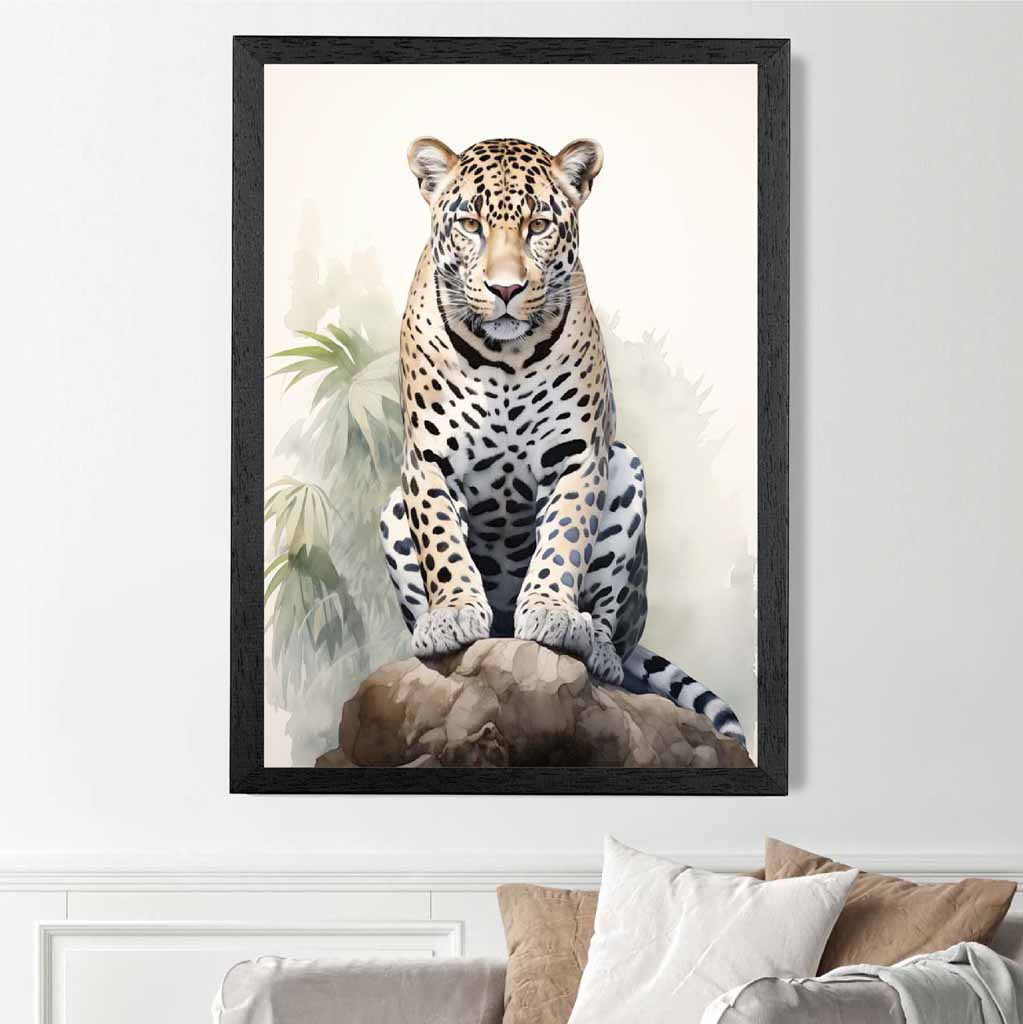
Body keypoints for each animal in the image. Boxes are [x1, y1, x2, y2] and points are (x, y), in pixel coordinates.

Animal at [378, 136, 746, 746]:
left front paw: (551, 610)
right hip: (390, 510)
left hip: (628, 474)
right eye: (471, 225)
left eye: (539, 226)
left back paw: (595, 646)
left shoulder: (578, 458)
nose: (506, 288)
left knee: (613, 626)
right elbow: (443, 545)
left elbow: (564, 542)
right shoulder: (428, 461)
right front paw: (452, 613)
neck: (502, 358)